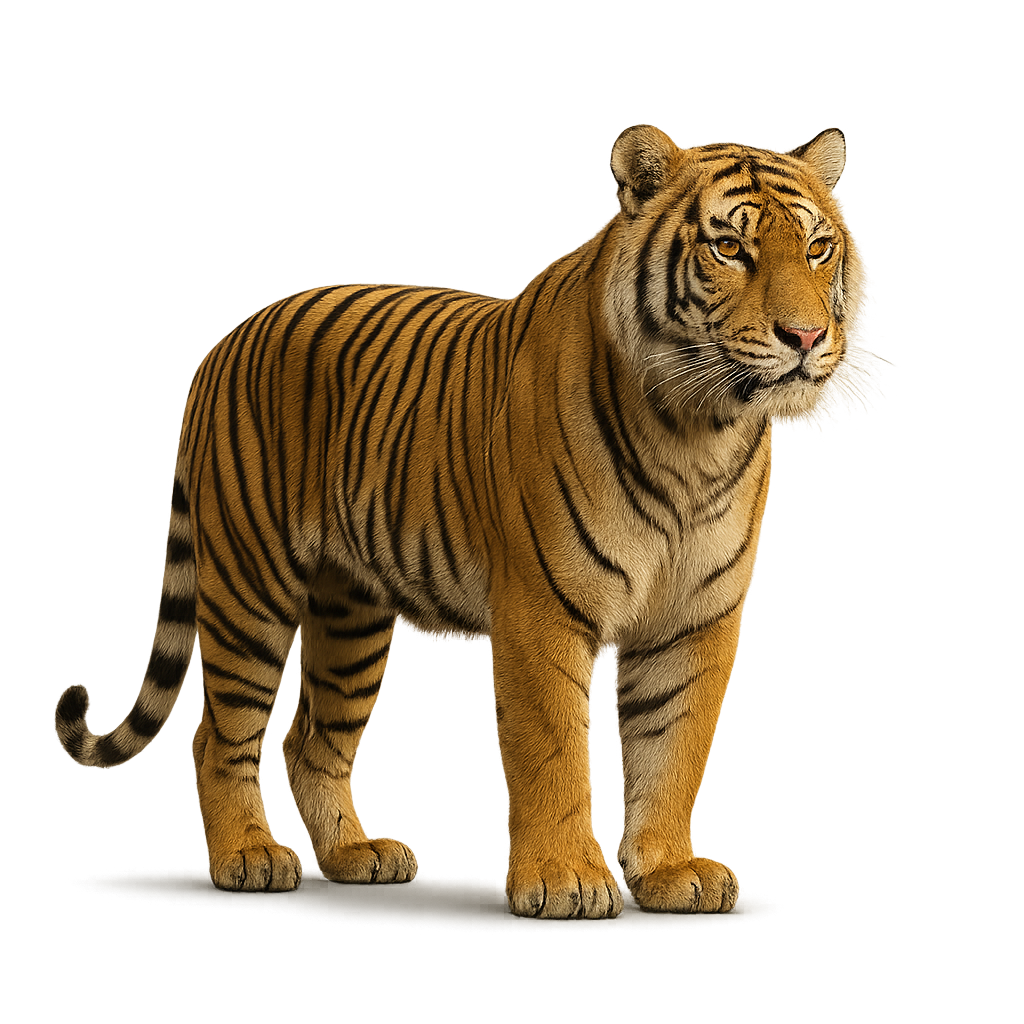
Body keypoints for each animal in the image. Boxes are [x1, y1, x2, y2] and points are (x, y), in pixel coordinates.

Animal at [56, 125, 855, 918]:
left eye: (818, 249)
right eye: (731, 248)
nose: (806, 337)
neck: (698, 432)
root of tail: (226, 342)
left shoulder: (694, 615)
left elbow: (675, 748)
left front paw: (669, 869)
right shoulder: (542, 606)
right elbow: (553, 747)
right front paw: (566, 878)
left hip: (350, 614)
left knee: (310, 742)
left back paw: (355, 854)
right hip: (248, 588)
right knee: (219, 738)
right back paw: (247, 856)